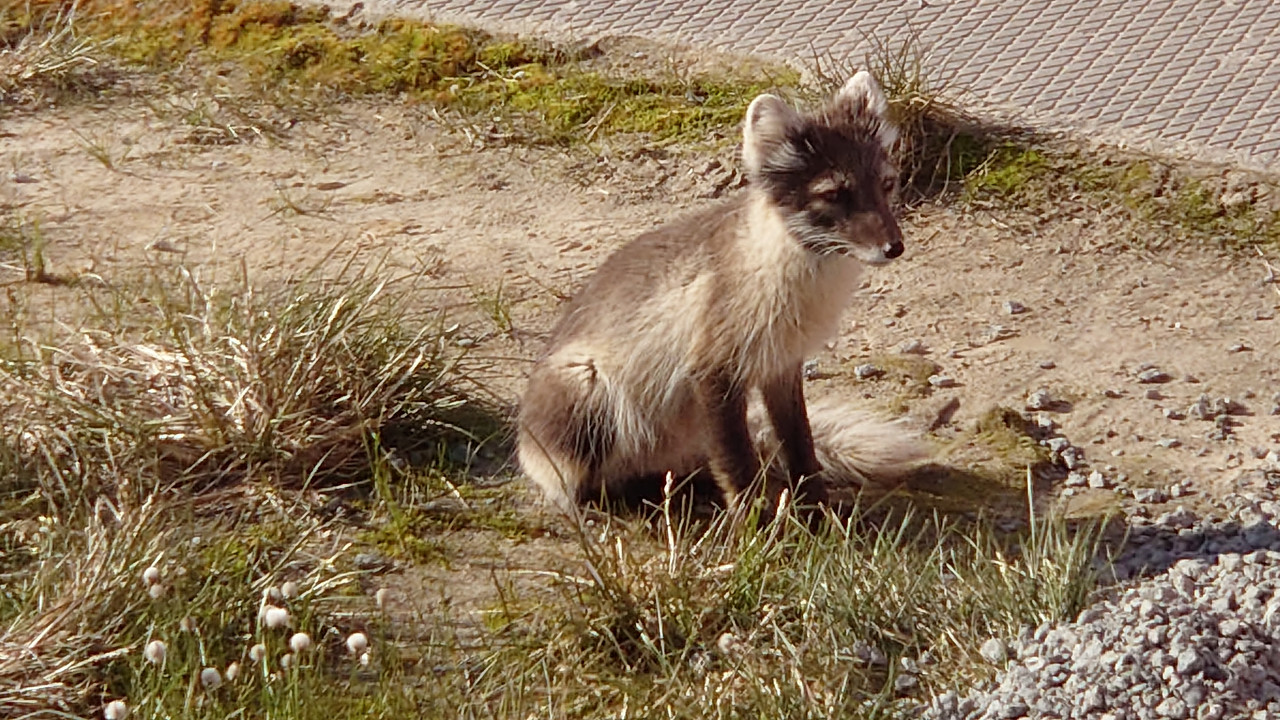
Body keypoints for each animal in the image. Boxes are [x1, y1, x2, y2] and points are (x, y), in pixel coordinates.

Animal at [514, 71, 926, 509]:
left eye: (887, 184)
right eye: (833, 194)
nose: (894, 248)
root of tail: (525, 442)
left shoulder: (781, 366)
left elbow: (801, 448)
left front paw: (816, 512)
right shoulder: (713, 370)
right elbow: (737, 464)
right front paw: (753, 521)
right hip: (587, 394)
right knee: (577, 486)